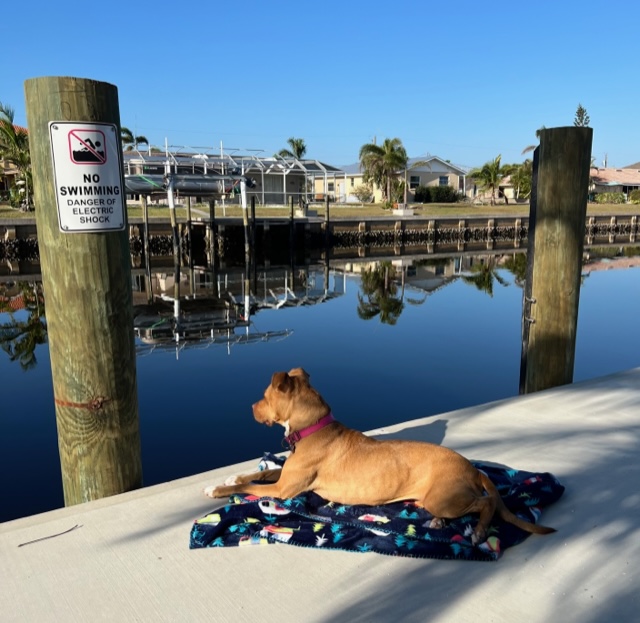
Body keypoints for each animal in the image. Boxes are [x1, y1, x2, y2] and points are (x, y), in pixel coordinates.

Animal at [205, 368, 556, 544]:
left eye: (264, 397)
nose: (250, 407)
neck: (313, 427)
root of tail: (473, 468)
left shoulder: (283, 490)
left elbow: (249, 487)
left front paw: (217, 488)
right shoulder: (285, 477)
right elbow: (258, 473)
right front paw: (233, 475)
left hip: (446, 497)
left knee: (487, 503)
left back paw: (480, 530)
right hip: (437, 499)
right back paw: (438, 521)